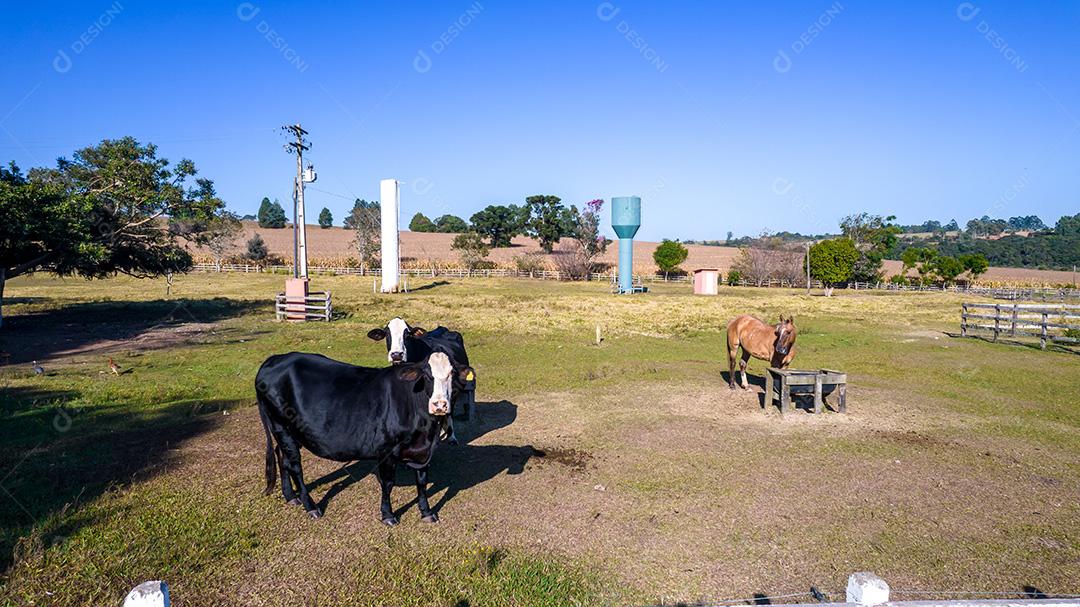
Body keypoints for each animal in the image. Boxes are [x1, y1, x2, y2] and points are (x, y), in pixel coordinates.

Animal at [255, 350, 474, 525]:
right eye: (427, 375)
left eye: (452, 374)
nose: (440, 405)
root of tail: (276, 358)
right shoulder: (387, 450)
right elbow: (388, 484)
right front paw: (388, 515)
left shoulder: (423, 452)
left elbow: (422, 482)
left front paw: (427, 512)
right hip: (281, 426)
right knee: (294, 465)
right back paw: (311, 506)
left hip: (289, 432)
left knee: (282, 456)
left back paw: (290, 496)